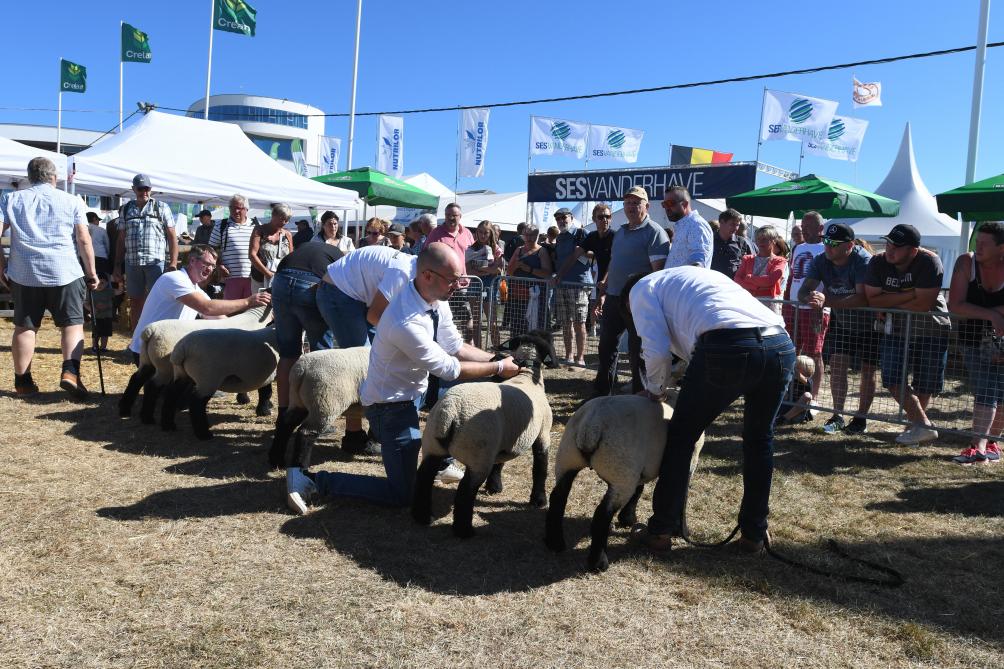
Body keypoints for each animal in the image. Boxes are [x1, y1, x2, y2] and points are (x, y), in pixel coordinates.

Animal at [117, 303, 271, 421]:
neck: (257, 318)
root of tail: (150, 331)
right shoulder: (258, 365)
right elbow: (264, 388)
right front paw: (262, 408)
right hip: (164, 367)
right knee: (152, 385)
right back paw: (148, 416)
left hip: (147, 361)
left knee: (136, 380)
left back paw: (125, 410)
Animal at [411, 331, 562, 538]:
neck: (527, 375)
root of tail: (449, 411)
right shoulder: (543, 433)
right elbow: (540, 467)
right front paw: (539, 500)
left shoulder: (505, 440)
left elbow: (499, 464)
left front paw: (494, 487)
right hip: (478, 454)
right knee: (465, 491)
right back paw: (464, 531)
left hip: (432, 446)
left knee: (424, 478)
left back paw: (423, 517)